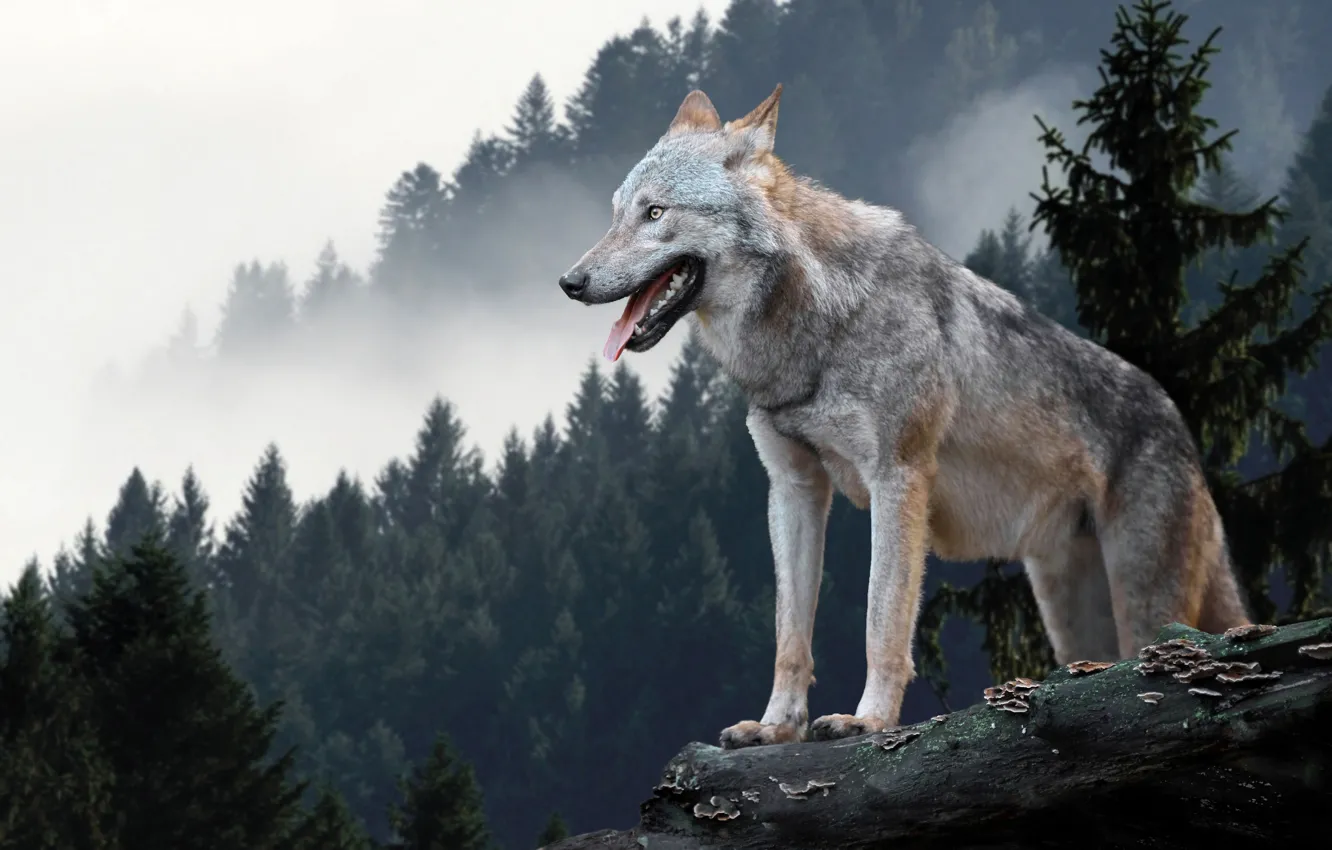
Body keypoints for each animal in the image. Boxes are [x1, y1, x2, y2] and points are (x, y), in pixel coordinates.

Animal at [556, 84, 1252, 749]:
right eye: (617, 213)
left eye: (655, 213)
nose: (569, 282)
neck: (817, 327)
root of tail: (1182, 427)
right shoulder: (793, 489)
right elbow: (790, 635)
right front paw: (777, 728)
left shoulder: (898, 478)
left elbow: (881, 619)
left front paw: (868, 721)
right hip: (1072, 619)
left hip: (1143, 605)